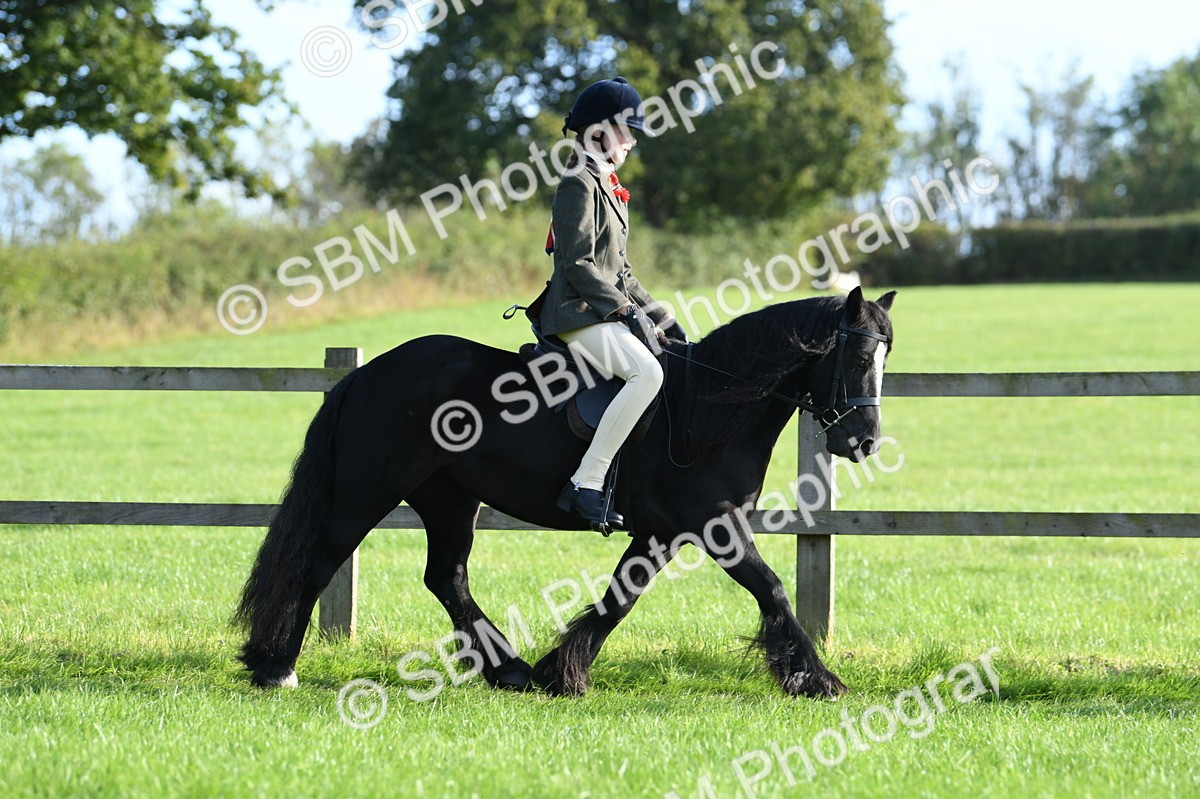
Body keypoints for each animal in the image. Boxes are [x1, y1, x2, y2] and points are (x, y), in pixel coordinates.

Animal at [234, 286, 896, 698]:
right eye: (857, 356)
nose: (864, 441)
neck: (708, 409)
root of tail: (367, 373)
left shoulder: (660, 532)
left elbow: (619, 599)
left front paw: (562, 671)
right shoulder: (714, 524)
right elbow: (772, 589)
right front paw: (816, 680)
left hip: (449, 499)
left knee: (447, 578)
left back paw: (510, 672)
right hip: (367, 492)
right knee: (322, 562)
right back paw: (276, 668)